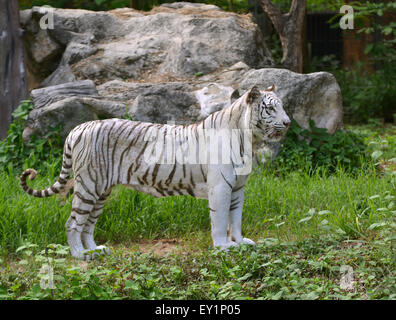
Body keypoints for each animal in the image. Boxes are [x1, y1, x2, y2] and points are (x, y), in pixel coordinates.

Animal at [19, 85, 290, 260]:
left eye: (283, 107)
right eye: (270, 109)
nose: (288, 122)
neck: (249, 138)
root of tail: (78, 128)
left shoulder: (237, 187)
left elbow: (235, 219)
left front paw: (240, 242)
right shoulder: (221, 187)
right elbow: (221, 219)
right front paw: (223, 247)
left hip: (101, 190)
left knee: (88, 224)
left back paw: (94, 250)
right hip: (88, 185)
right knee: (73, 222)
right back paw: (79, 255)